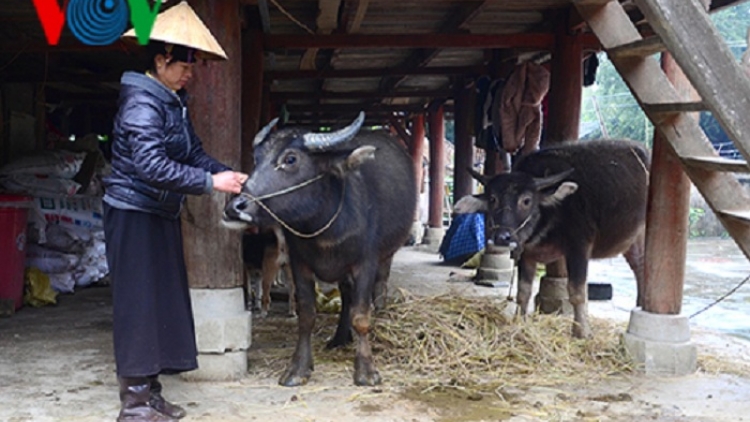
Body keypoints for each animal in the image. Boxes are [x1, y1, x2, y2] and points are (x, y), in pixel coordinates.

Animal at [223, 111, 418, 386]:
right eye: (256, 159)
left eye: (290, 159)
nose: (235, 207)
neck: (326, 230)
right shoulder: (299, 265)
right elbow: (306, 315)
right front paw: (297, 369)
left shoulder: (365, 264)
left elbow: (361, 316)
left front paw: (367, 371)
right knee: (346, 296)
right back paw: (340, 338)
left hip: (386, 256)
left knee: (379, 289)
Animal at [470, 140, 652, 338]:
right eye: (493, 199)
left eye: (526, 200)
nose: (502, 237)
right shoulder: (527, 253)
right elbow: (523, 291)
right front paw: (520, 321)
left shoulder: (579, 249)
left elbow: (577, 293)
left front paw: (581, 331)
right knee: (640, 267)